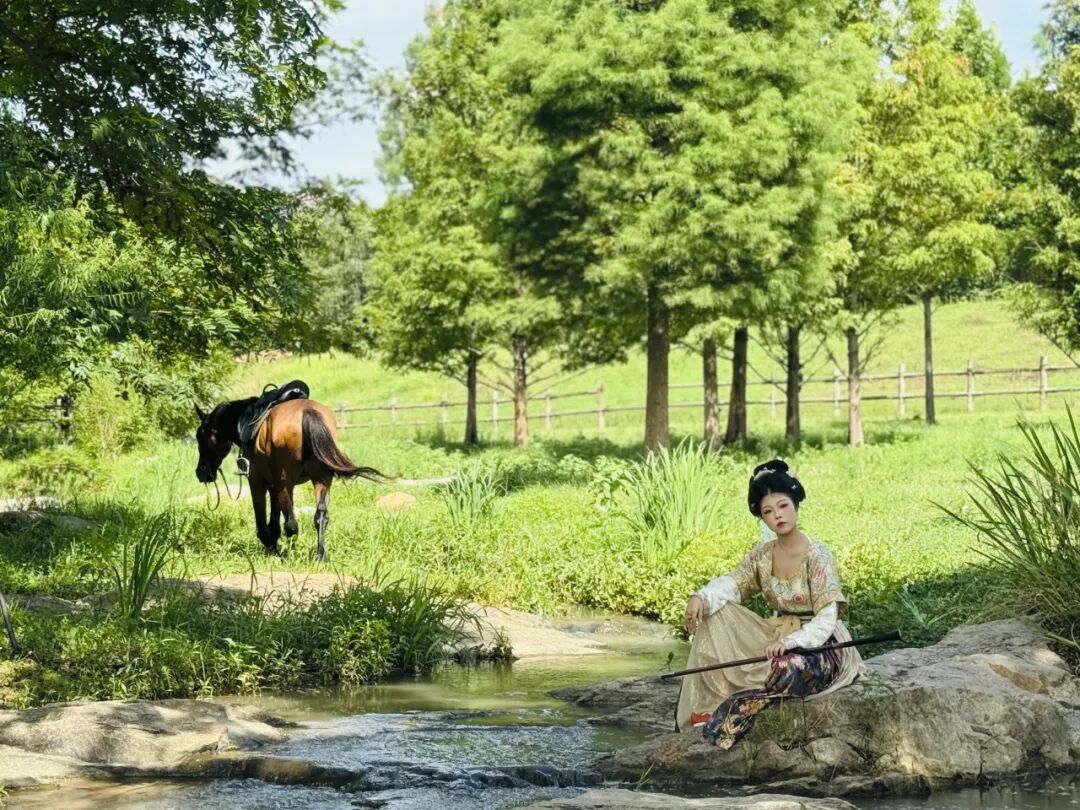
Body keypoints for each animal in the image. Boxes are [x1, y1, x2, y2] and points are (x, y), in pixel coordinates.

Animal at [194, 397, 384, 561]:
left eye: (200, 436)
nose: (201, 472)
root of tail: (308, 411)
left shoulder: (257, 481)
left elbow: (264, 521)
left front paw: (271, 547)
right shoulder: (274, 486)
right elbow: (275, 520)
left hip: (285, 483)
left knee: (292, 524)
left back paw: (290, 555)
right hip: (320, 480)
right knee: (320, 515)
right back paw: (320, 555)